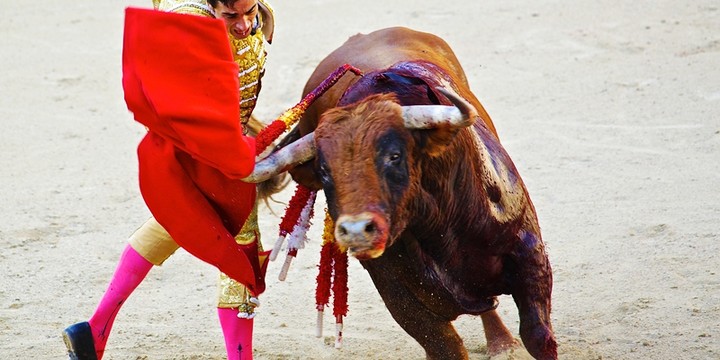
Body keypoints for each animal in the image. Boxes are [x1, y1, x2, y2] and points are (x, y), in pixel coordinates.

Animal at [248, 26, 556, 358]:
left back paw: (502, 344)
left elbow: (538, 337)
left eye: (394, 156)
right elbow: (445, 346)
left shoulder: (531, 258)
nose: (356, 231)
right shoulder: (400, 298)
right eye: (325, 171)